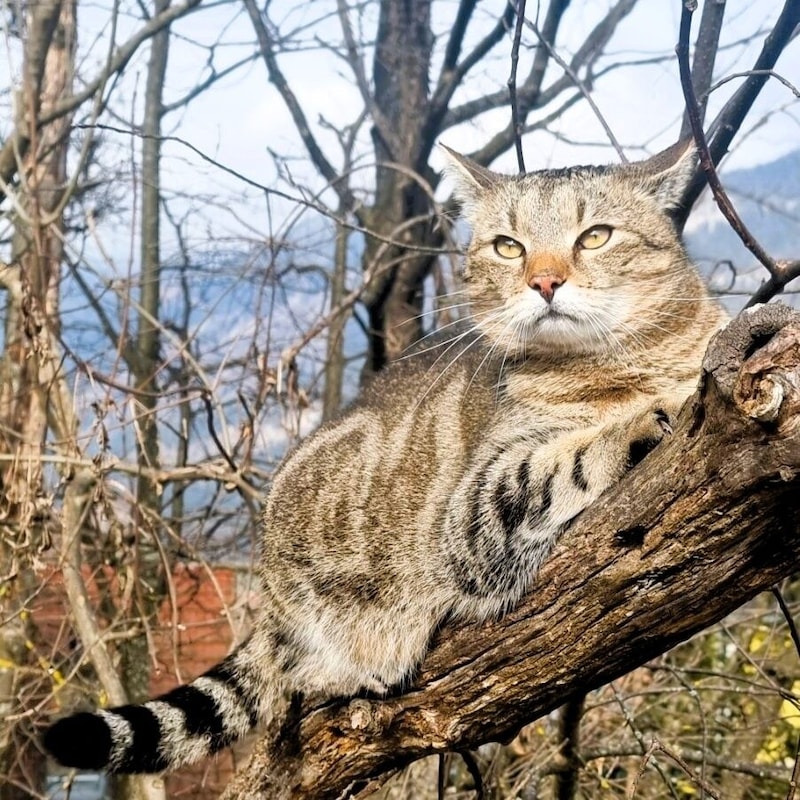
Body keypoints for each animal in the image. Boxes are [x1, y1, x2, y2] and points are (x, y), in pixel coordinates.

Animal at [40, 141, 728, 772]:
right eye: (508, 247)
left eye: (596, 236)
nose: (544, 280)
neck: (626, 363)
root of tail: (270, 595)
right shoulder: (476, 509)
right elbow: (567, 457)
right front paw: (643, 418)